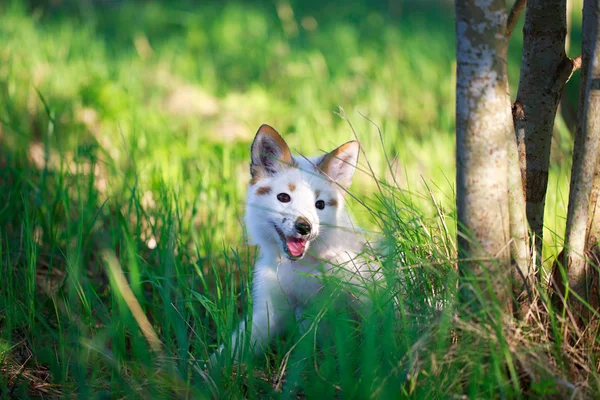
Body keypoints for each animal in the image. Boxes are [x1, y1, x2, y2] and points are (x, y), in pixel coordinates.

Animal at [213, 125, 380, 362]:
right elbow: (234, 347)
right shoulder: (269, 311)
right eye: (283, 197)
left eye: (320, 204)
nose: (304, 227)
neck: (302, 267)